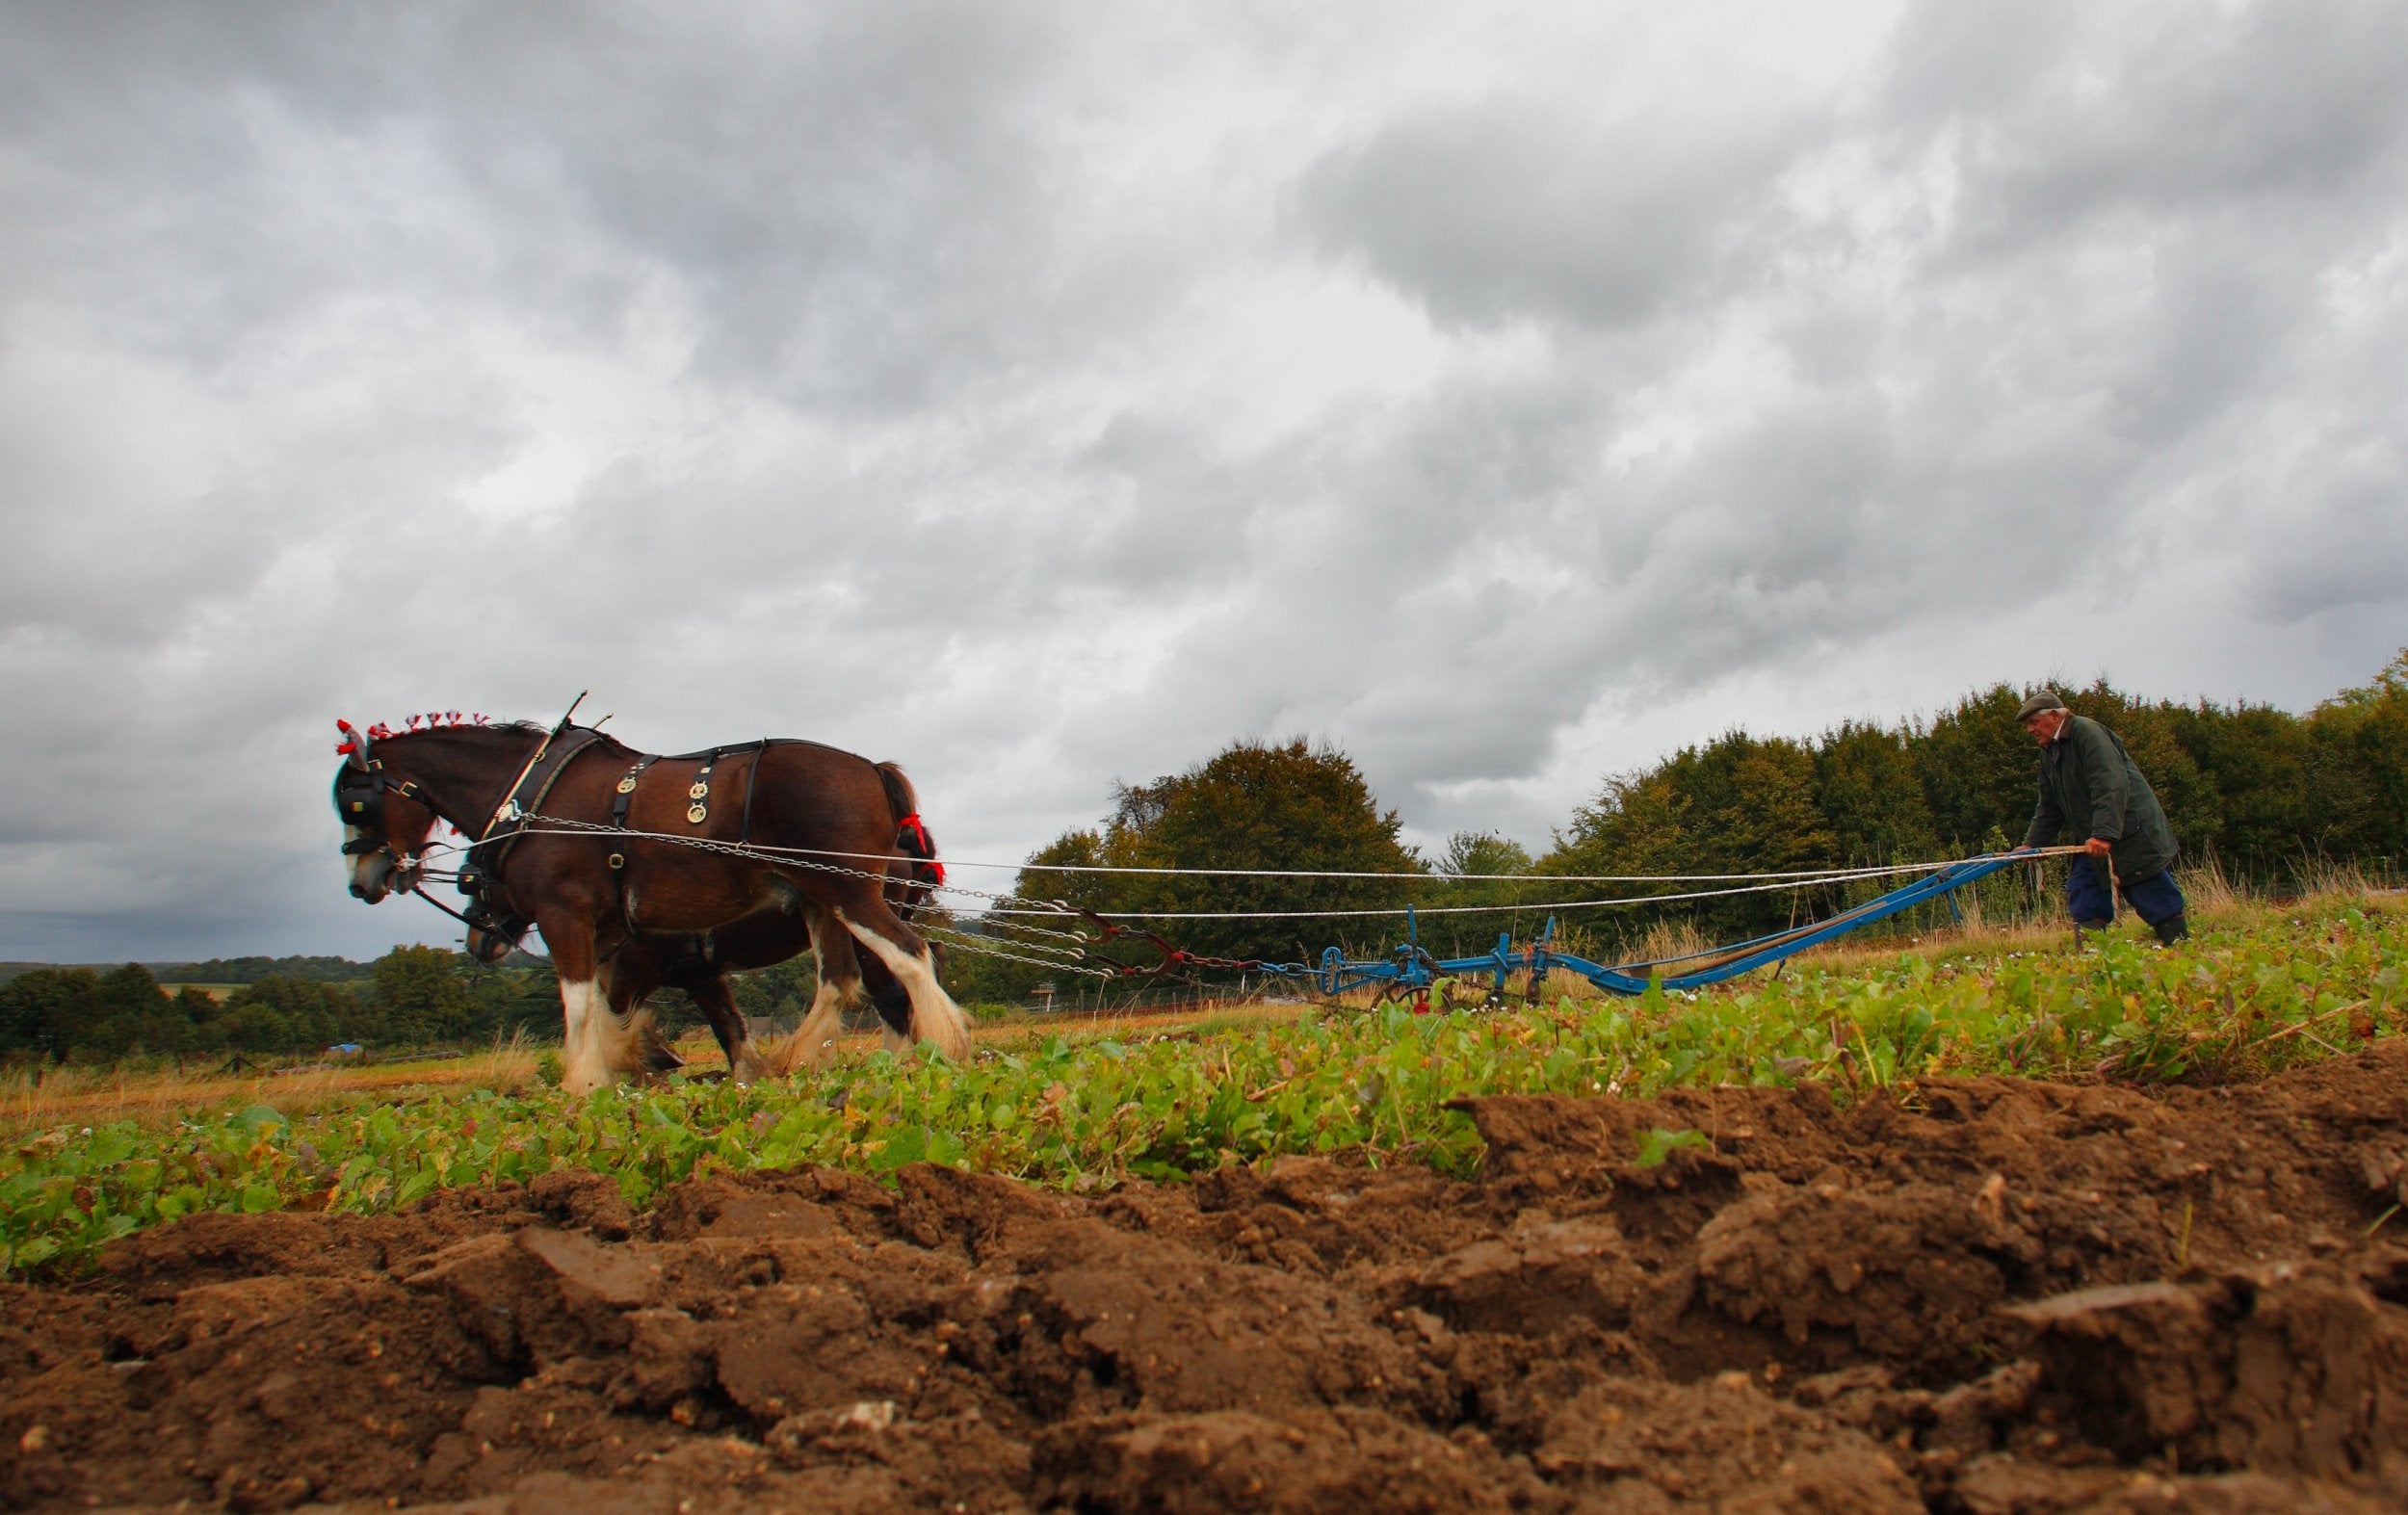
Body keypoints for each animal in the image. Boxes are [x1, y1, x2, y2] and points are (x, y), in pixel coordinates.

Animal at [334, 718, 973, 1088]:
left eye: (354, 802)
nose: (362, 881)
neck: (536, 797)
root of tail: (874, 771)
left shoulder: (571, 918)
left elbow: (581, 1006)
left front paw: (586, 1083)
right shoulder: (639, 951)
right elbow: (656, 1017)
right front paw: (642, 1061)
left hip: (847, 890)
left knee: (908, 963)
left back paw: (942, 1050)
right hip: (819, 898)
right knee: (845, 982)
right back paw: (809, 1059)